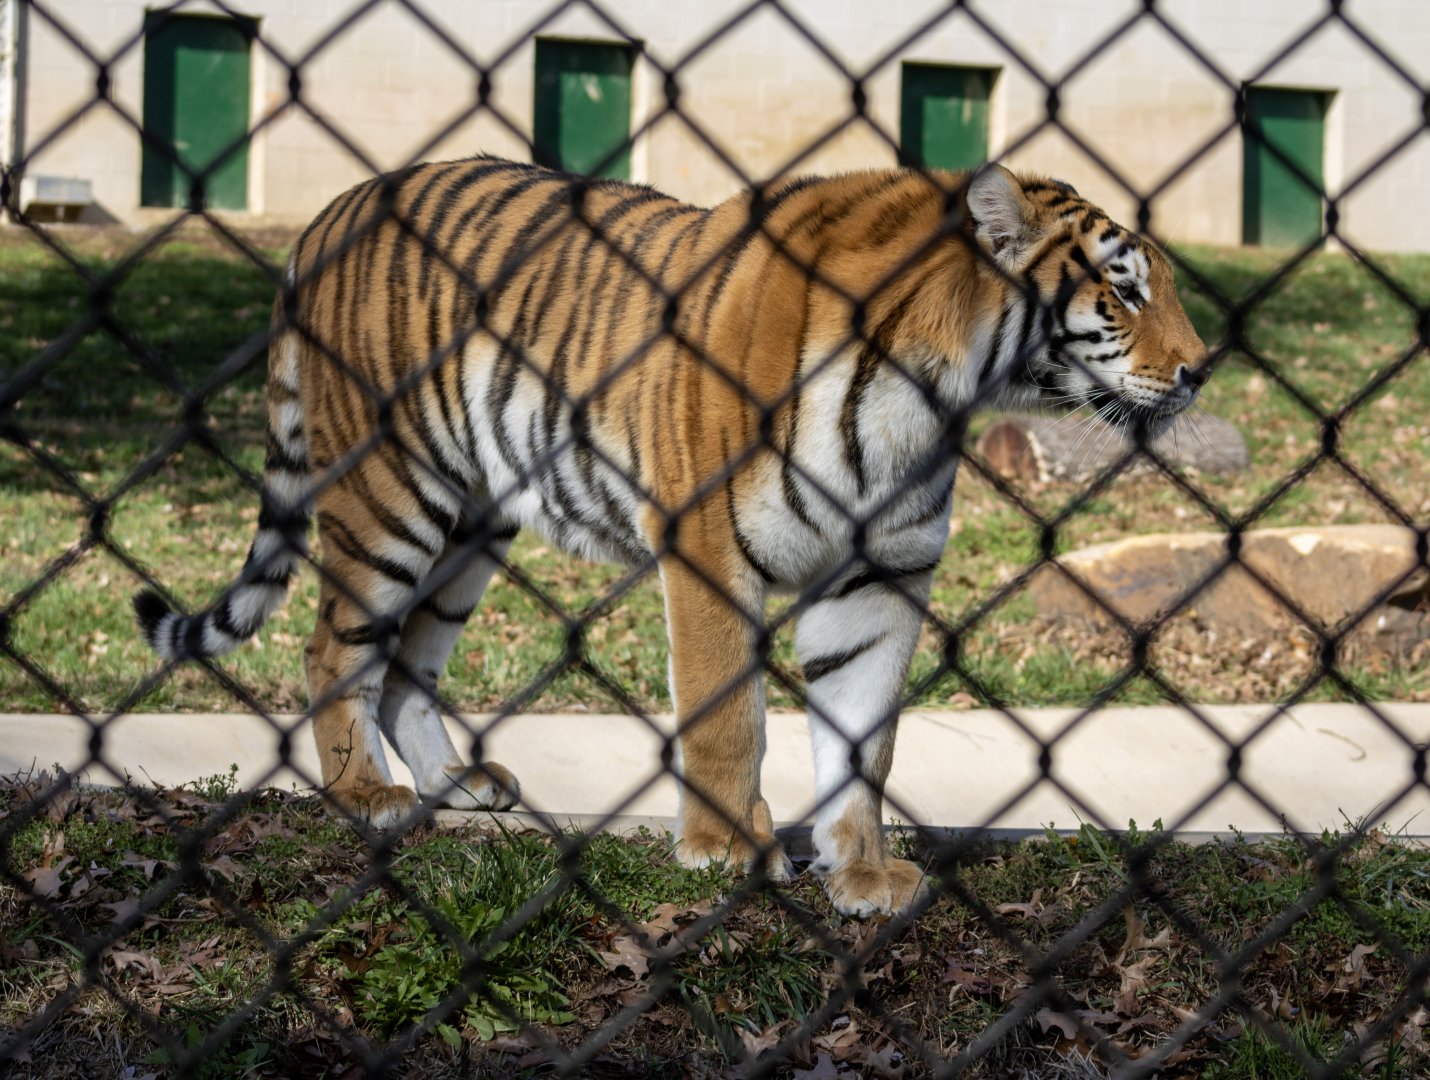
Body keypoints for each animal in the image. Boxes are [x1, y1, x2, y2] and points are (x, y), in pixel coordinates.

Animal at [134, 156, 1207, 917]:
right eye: (1123, 292)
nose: (1201, 371)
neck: (930, 393)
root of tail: (336, 207)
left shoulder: (878, 578)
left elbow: (865, 738)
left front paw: (862, 876)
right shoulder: (707, 544)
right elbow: (728, 715)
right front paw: (727, 849)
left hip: (471, 520)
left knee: (407, 661)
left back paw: (454, 783)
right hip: (391, 493)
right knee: (334, 647)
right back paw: (368, 797)